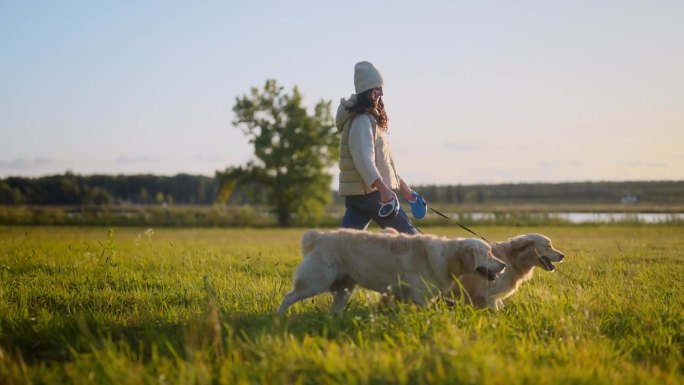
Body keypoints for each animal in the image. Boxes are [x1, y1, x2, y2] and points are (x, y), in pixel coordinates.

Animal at [276, 228, 504, 312]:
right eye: (489, 254)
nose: (504, 265)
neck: (447, 257)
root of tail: (320, 235)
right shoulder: (419, 298)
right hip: (316, 282)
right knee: (288, 297)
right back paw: (280, 317)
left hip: (344, 289)